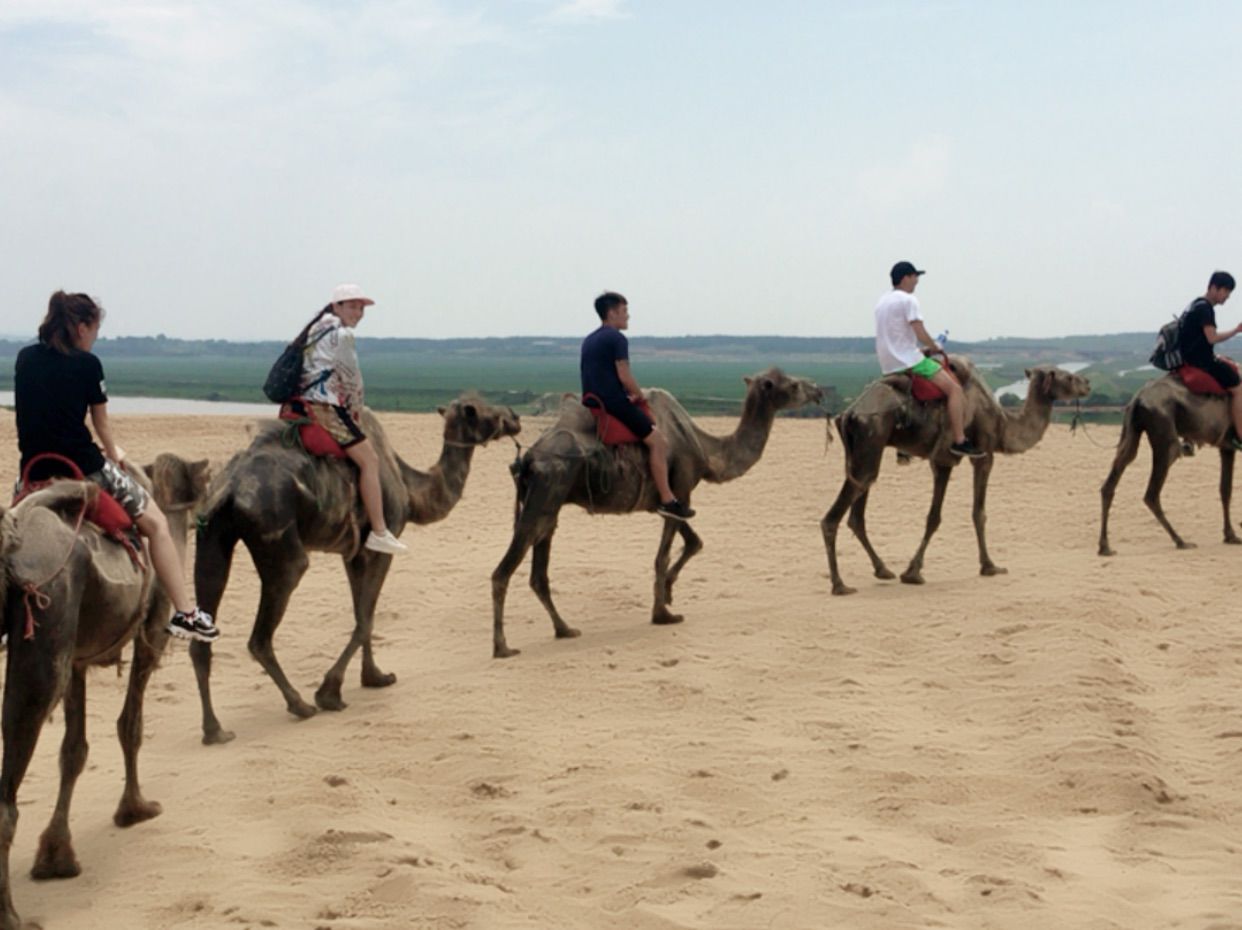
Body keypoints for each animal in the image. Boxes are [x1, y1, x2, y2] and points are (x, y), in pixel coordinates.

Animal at [0, 454, 208, 928]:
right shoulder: (151, 632)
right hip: (45, 635)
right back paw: (12, 917)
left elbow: (73, 750)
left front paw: (56, 856)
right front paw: (136, 808)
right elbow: (130, 725)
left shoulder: (77, 660)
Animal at [192, 392, 519, 740]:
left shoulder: (354, 553)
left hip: (212, 537)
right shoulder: (384, 541)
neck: (408, 485)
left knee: (203, 628)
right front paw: (330, 693)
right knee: (262, 634)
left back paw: (214, 729)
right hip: (278, 540)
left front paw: (375, 677)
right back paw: (300, 705)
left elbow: (362, 614)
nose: (515, 417)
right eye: (483, 410)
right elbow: (366, 620)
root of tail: (229, 487)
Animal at [486, 367, 824, 655]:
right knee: (503, 570)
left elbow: (694, 541)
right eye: (793, 385)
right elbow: (663, 556)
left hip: (549, 504)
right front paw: (663, 613)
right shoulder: (682, 487)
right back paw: (503, 647)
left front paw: (670, 593)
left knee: (538, 573)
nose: (819, 390)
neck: (706, 449)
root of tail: (527, 458)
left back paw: (564, 629)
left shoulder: (668, 502)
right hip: (545, 495)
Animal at [819, 360, 1092, 591]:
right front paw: (988, 566)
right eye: (1068, 377)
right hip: (871, 437)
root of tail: (849, 413)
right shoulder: (977, 454)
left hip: (865, 451)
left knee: (858, 508)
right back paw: (839, 585)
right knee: (835, 515)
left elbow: (938, 516)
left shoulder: (942, 462)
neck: (1004, 423)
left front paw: (910, 571)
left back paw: (882, 569)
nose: (1087, 383)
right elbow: (970, 514)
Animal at [1102, 372, 1237, 556]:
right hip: (1166, 436)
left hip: (1132, 432)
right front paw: (1232, 536)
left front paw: (1230, 536)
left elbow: (1225, 489)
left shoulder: (1226, 447)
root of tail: (1138, 399)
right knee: (1151, 493)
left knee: (1112, 480)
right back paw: (1181, 541)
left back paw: (1104, 546)